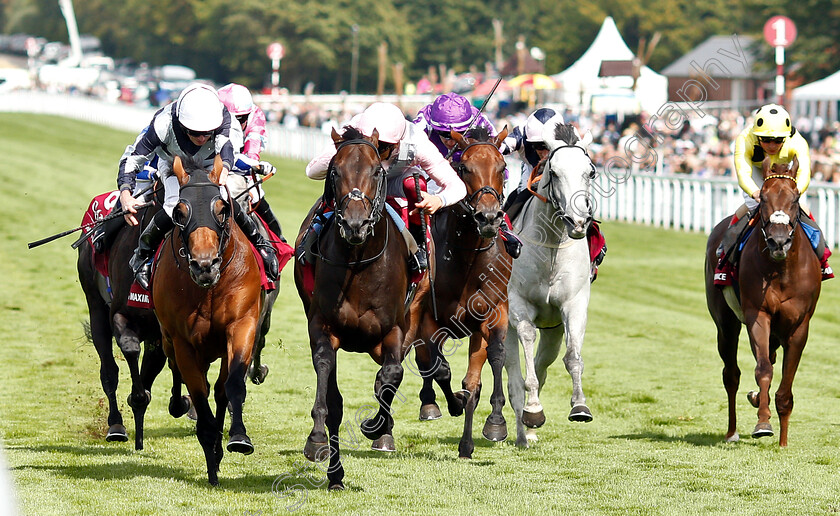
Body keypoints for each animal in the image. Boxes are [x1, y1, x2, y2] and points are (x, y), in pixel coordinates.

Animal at [153, 155, 264, 486]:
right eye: (179, 211)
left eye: (222, 208)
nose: (205, 265)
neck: (209, 288)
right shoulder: (183, 342)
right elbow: (198, 395)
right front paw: (211, 459)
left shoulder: (242, 325)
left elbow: (232, 385)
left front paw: (238, 438)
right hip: (171, 342)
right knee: (180, 374)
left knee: (220, 388)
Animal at [296, 125, 426, 488]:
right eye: (335, 171)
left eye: (377, 171)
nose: (355, 225)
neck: (358, 264)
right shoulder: (323, 327)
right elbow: (329, 391)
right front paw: (316, 441)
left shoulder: (395, 329)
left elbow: (391, 375)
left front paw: (376, 426)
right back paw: (335, 474)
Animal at [704, 159, 824, 446]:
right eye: (764, 199)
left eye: (795, 198)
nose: (778, 241)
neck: (781, 270)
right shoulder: (758, 315)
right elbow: (763, 369)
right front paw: (763, 423)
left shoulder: (799, 325)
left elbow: (785, 384)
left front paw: (783, 441)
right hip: (726, 324)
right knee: (731, 374)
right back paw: (732, 431)